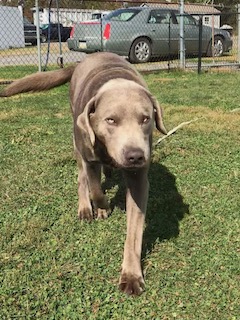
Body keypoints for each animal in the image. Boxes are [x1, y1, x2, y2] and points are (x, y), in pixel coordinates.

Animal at [0, 52, 167, 296]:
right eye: (111, 120)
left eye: (146, 119)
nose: (135, 156)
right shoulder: (89, 158)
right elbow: (96, 189)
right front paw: (103, 206)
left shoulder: (138, 179)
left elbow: (134, 230)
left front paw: (131, 275)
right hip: (76, 138)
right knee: (82, 180)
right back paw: (87, 208)